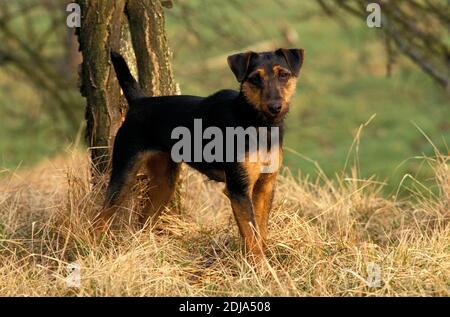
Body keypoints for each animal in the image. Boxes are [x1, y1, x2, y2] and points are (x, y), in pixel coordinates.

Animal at [96, 48, 304, 260]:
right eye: (255, 78)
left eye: (283, 75)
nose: (275, 107)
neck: (258, 123)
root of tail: (139, 102)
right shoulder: (238, 189)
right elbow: (252, 237)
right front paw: (259, 266)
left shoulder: (265, 186)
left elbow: (261, 233)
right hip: (124, 173)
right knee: (100, 219)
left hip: (164, 182)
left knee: (143, 221)